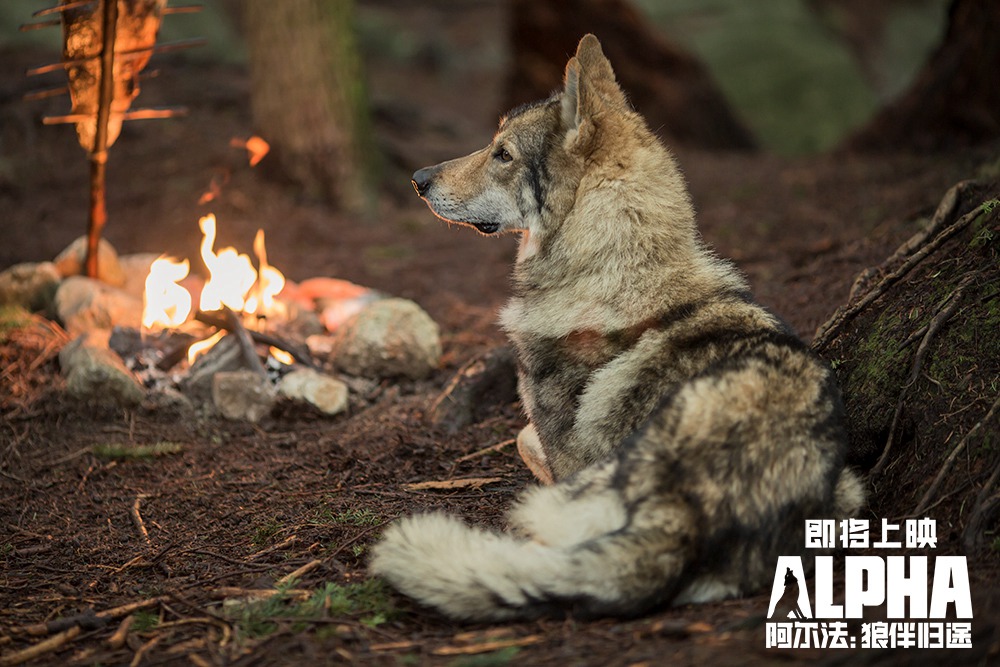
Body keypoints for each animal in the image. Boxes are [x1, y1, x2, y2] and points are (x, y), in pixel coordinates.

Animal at [372, 35, 864, 620]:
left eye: (502, 153)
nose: (417, 180)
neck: (616, 270)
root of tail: (682, 516)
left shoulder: (561, 453)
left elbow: (523, 437)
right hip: (851, 494)